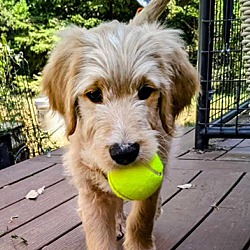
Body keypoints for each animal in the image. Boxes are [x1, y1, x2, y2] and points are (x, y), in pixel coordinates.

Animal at [42, 0, 200, 249]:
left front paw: (139, 243)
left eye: (145, 91)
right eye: (94, 94)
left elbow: (141, 217)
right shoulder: (89, 186)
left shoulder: (157, 164)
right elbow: (99, 232)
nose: (124, 152)